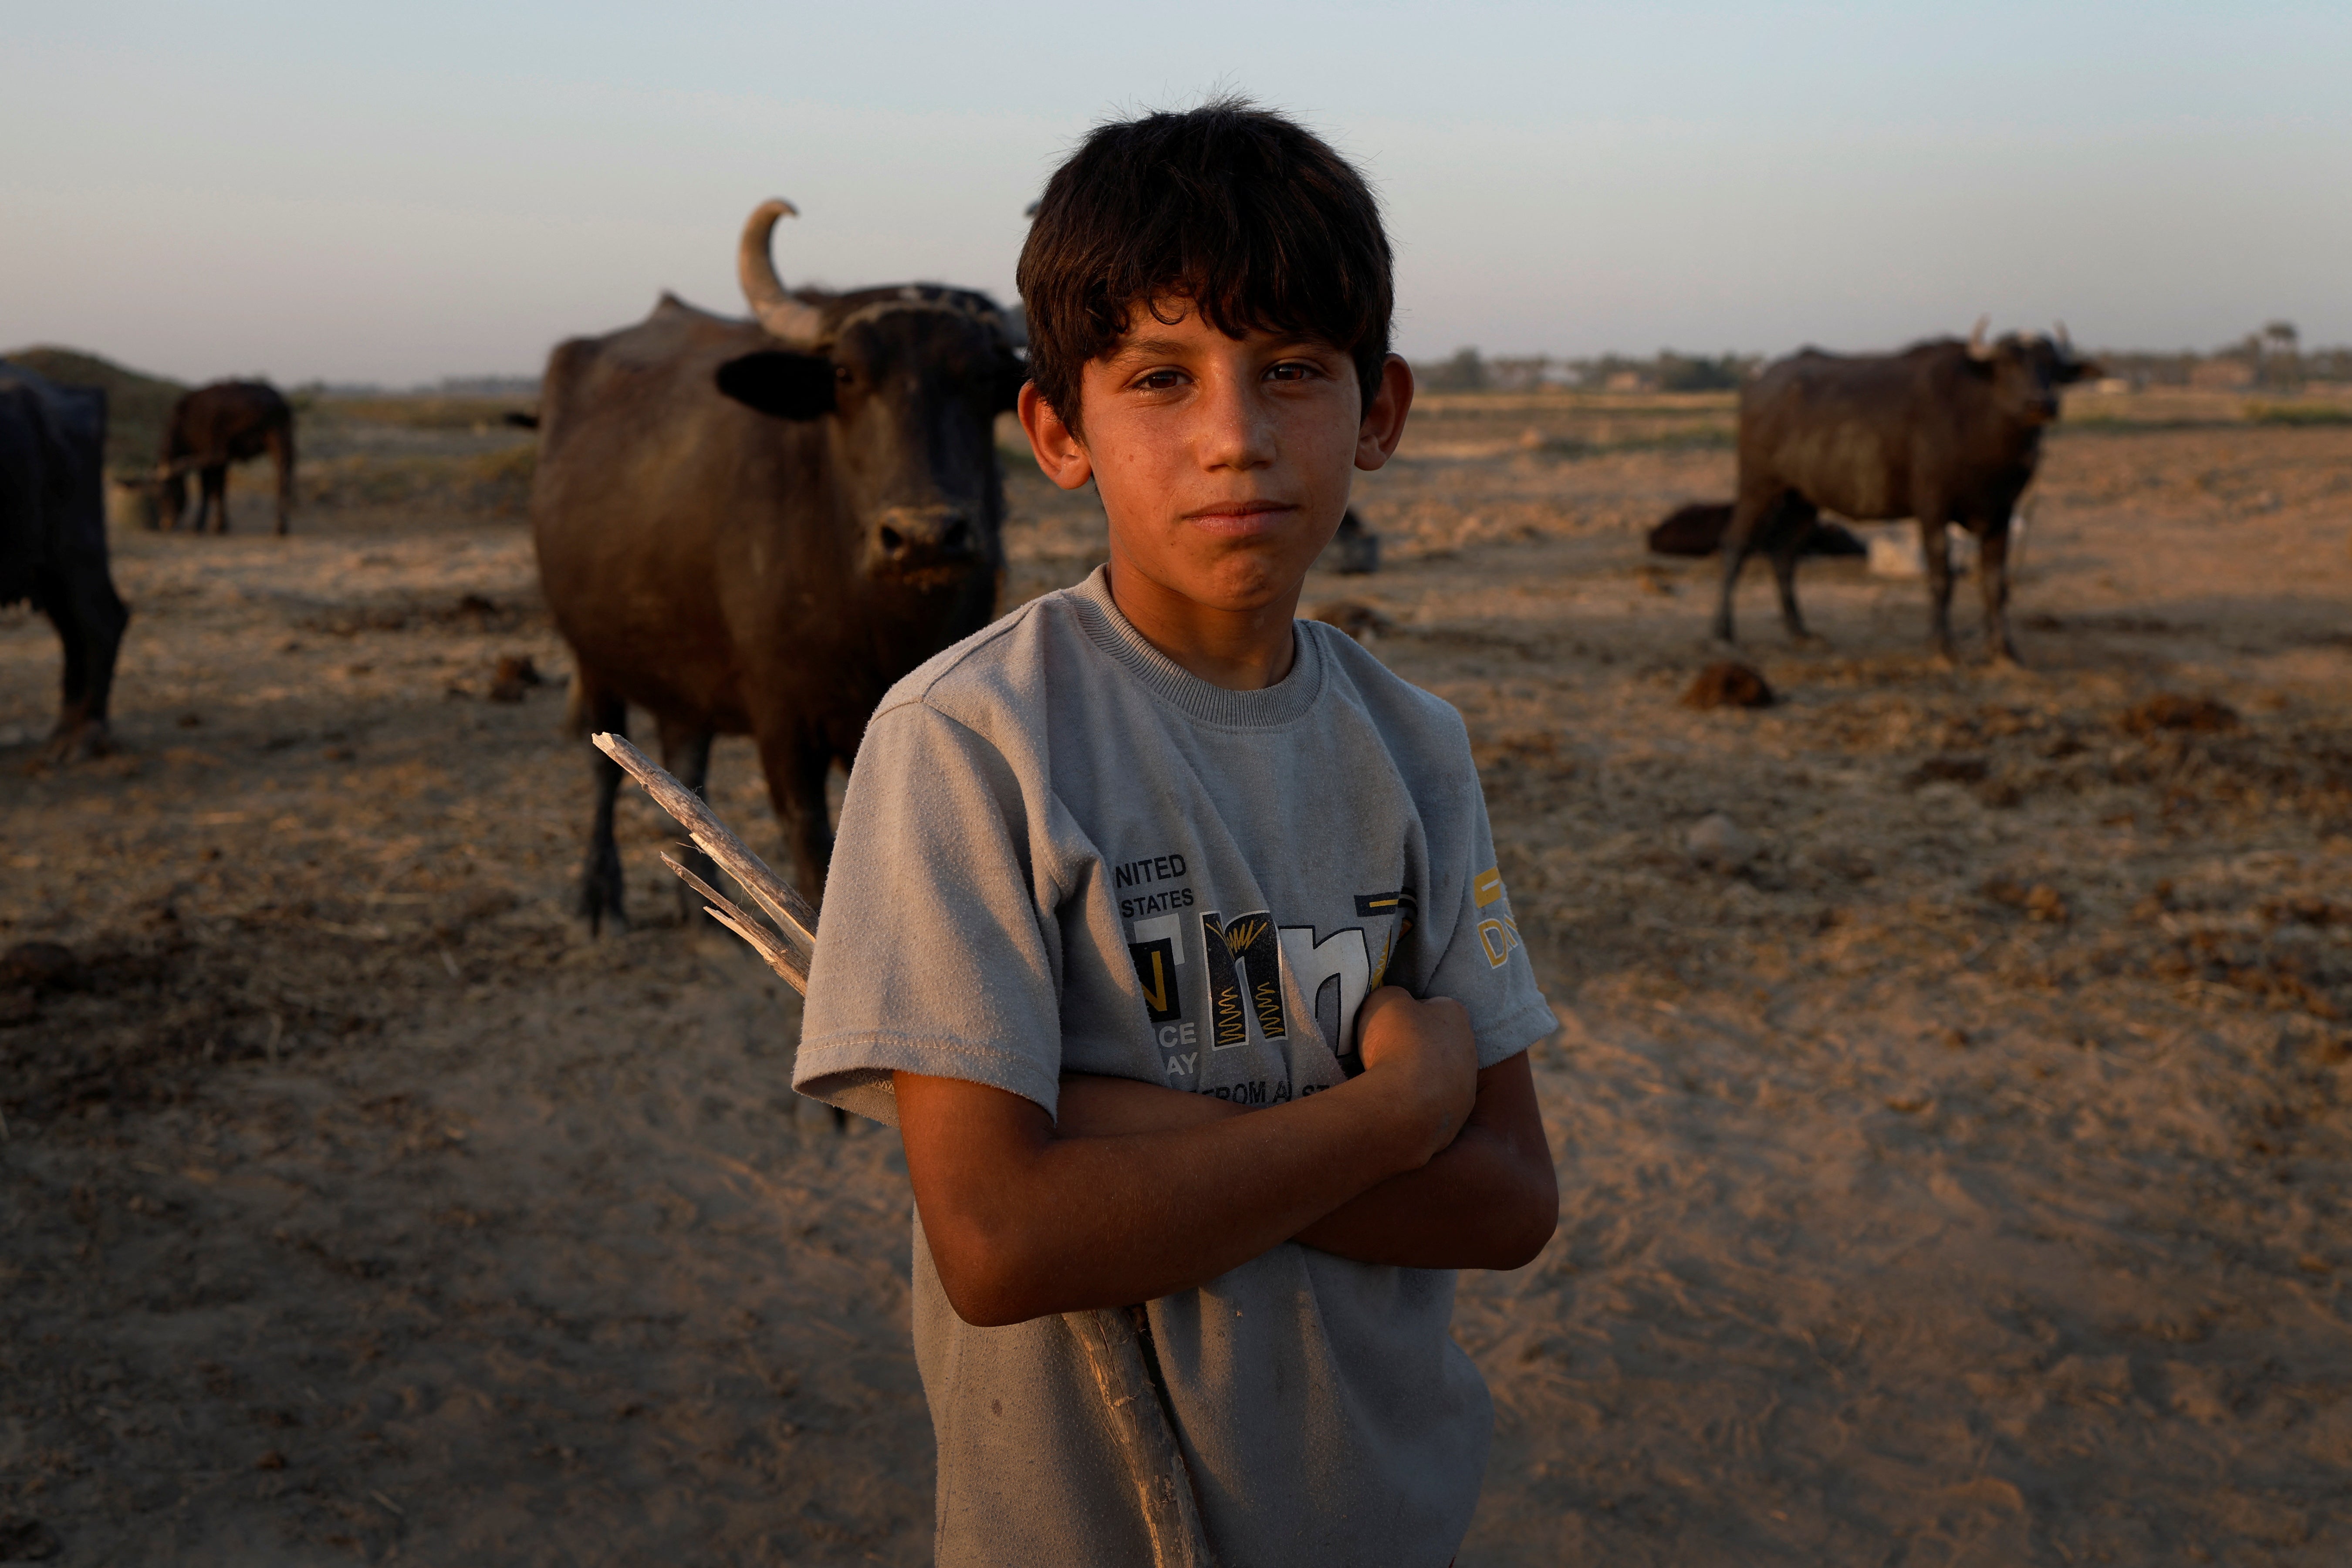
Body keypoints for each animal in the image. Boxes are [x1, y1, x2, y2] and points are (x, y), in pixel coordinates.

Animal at [1, 364, 130, 766]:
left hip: (75, 550)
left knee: (101, 621)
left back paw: (83, 736)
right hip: (45, 570)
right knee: (73, 631)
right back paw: (64, 731)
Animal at [161, 378, 294, 534]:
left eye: (167, 492)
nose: (166, 523)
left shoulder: (206, 455)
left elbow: (208, 489)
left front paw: (202, 524)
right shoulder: (219, 463)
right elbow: (219, 489)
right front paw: (220, 524)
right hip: (280, 438)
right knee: (283, 478)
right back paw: (281, 526)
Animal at [538, 201, 1025, 926]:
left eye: (986, 377)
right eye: (847, 375)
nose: (926, 538)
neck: (877, 621)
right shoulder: (784, 726)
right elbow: (812, 851)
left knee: (687, 760)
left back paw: (698, 899)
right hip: (593, 657)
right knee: (606, 767)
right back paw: (601, 898)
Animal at [1712, 320, 2098, 663]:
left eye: (2052, 366)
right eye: (2007, 363)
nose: (2041, 404)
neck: (1982, 429)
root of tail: (1758, 381)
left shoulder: (2001, 513)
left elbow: (1994, 584)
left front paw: (2004, 650)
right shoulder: (1933, 509)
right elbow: (1941, 578)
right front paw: (1943, 647)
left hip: (1803, 499)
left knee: (1783, 555)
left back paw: (1801, 634)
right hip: (1757, 486)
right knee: (1736, 546)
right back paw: (1723, 633)